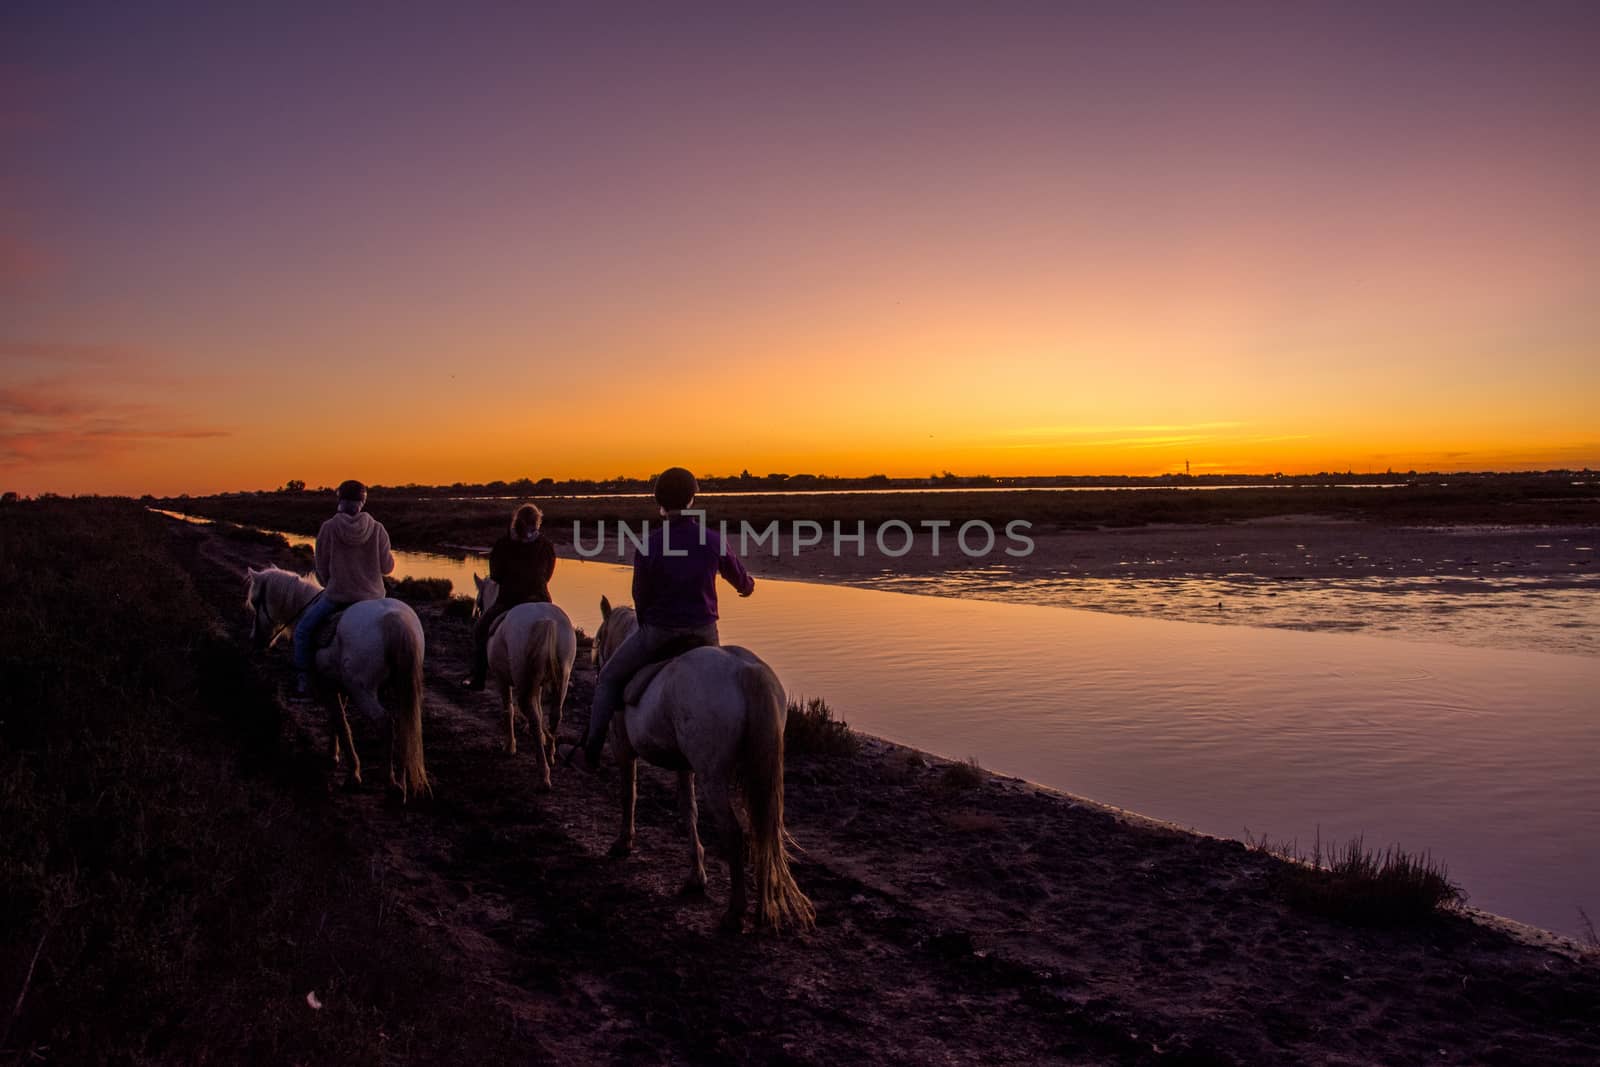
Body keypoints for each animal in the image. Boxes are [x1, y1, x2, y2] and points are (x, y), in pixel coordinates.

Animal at [244, 566, 432, 799]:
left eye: (254, 602)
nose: (255, 641)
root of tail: (395, 620)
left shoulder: (327, 687)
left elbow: (341, 724)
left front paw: (352, 771)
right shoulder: (336, 686)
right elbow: (337, 720)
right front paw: (334, 755)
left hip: (363, 692)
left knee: (385, 723)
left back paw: (389, 782)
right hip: (402, 689)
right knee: (405, 727)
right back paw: (403, 784)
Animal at [470, 575, 579, 793]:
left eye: (478, 601)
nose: (477, 613)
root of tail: (547, 621)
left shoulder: (503, 680)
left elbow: (509, 710)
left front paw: (509, 746)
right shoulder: (536, 685)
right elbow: (538, 708)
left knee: (535, 718)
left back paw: (543, 774)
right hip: (562, 678)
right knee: (554, 714)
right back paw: (550, 752)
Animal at [592, 598, 812, 927]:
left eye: (597, 638)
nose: (596, 667)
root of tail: (745, 671)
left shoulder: (623, 748)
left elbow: (628, 794)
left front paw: (623, 842)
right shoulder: (685, 765)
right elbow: (689, 810)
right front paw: (696, 876)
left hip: (713, 775)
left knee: (733, 832)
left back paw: (735, 912)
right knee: (763, 831)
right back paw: (763, 909)